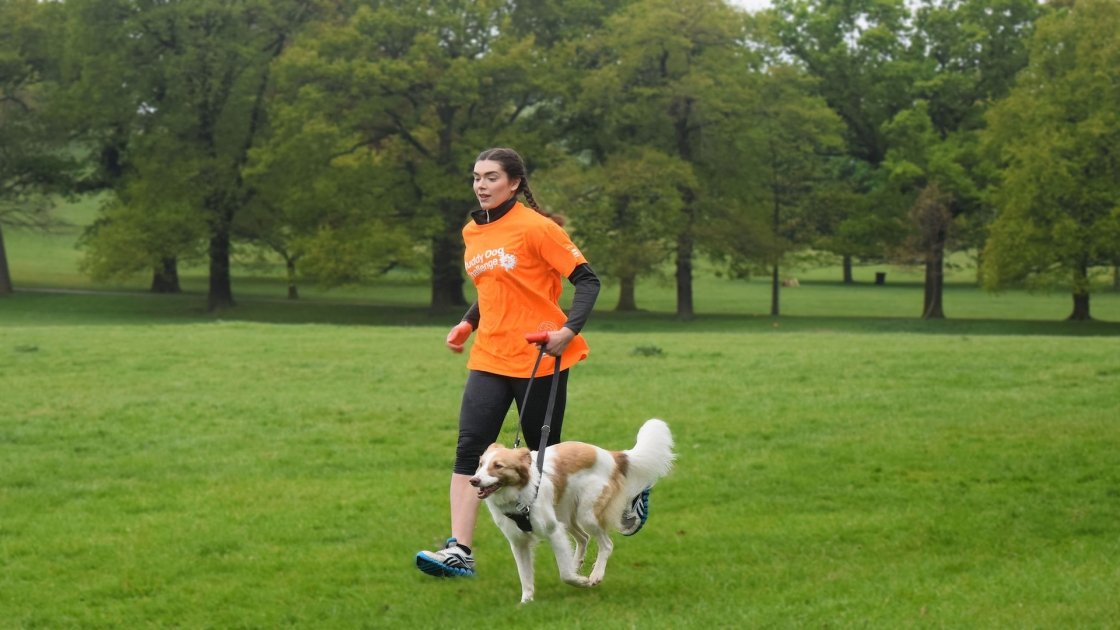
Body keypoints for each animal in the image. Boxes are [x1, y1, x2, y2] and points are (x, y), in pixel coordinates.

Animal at [465, 419, 667, 600]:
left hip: (586, 515)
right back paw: (576, 565)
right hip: (565, 515)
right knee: (583, 538)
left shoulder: (553, 531)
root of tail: (612, 456)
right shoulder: (518, 542)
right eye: (481, 464)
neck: (521, 494)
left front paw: (581, 581)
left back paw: (595, 575)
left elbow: (565, 574)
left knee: (606, 544)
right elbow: (526, 577)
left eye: (498, 466)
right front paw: (526, 603)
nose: (473, 481)